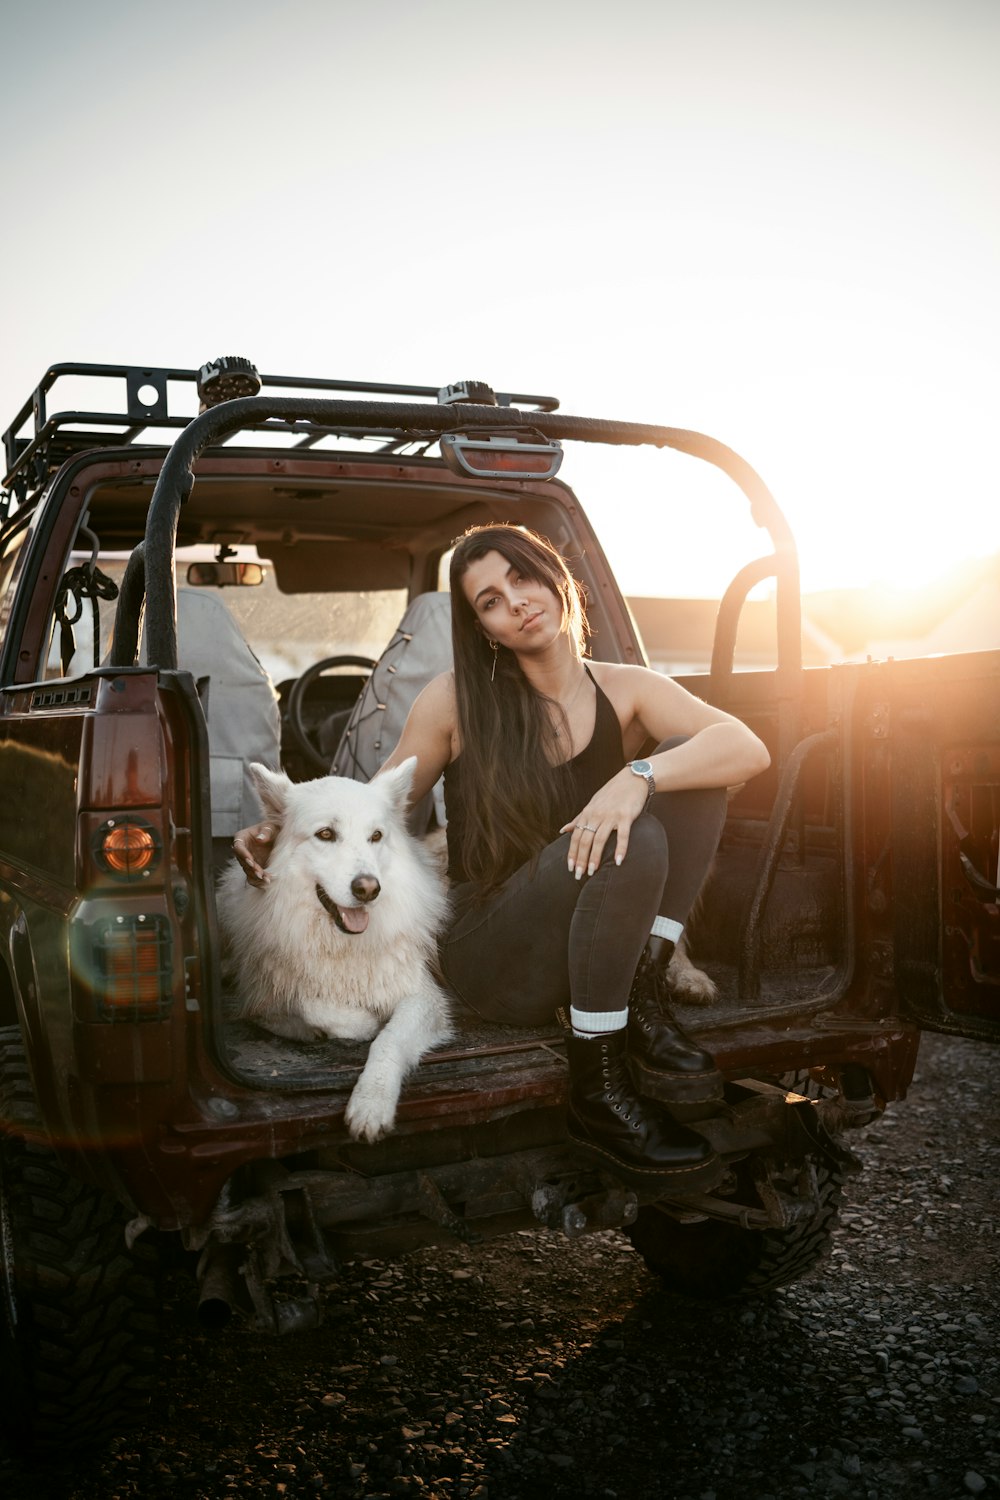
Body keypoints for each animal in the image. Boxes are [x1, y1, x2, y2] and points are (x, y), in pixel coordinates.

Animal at [220, 756, 458, 1140]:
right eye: (326, 834)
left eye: (375, 836)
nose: (368, 888)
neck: (342, 943)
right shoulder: (261, 993)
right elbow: (309, 1003)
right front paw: (356, 1023)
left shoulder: (423, 997)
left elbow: (389, 1040)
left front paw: (371, 1103)